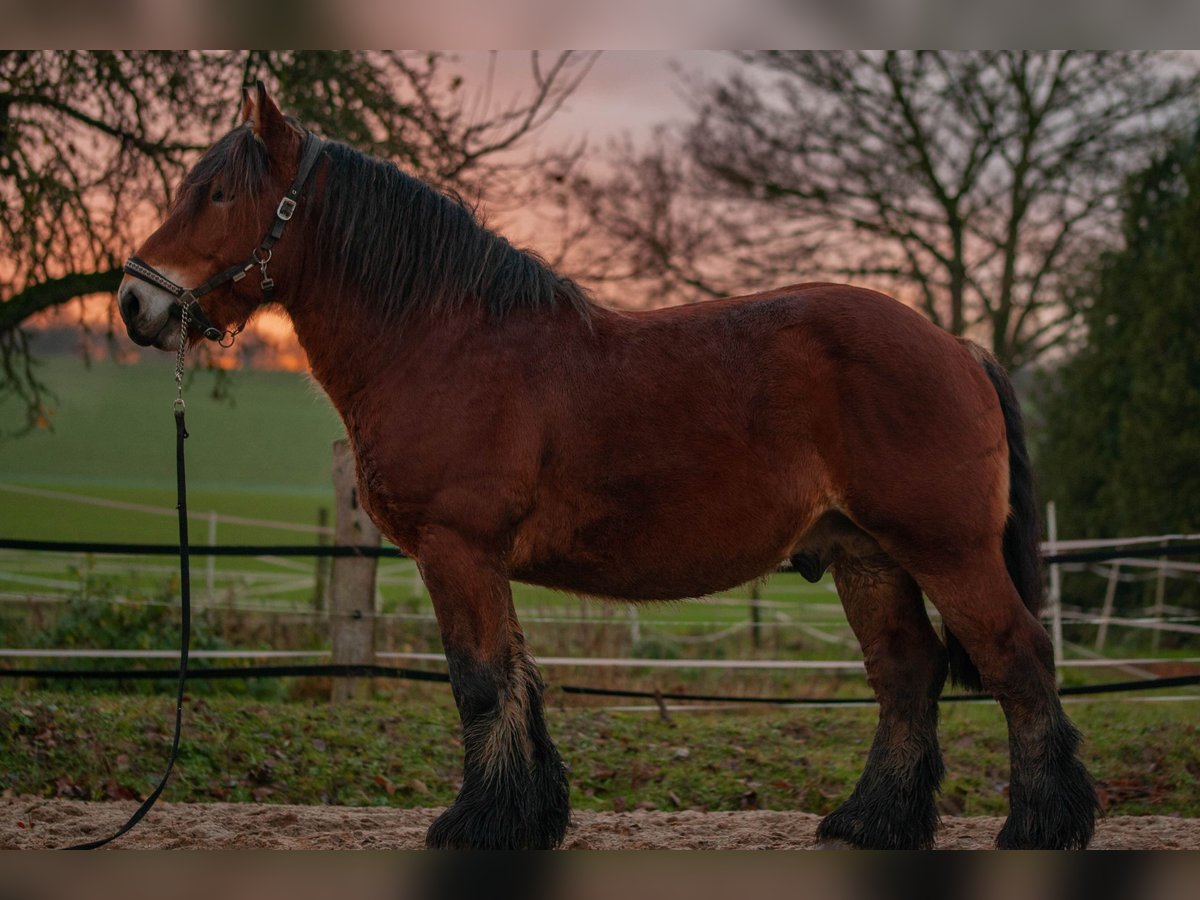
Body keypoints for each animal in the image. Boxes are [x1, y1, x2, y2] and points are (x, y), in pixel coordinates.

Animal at [114, 84, 1099, 854]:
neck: (443, 340)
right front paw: (528, 816)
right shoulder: (479, 560)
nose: (132, 302)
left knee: (1016, 657)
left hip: (945, 551)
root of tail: (957, 345)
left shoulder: (457, 548)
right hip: (868, 557)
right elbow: (515, 677)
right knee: (906, 674)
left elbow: (480, 681)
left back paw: (1039, 826)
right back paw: (874, 823)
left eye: (218, 193)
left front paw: (478, 823)